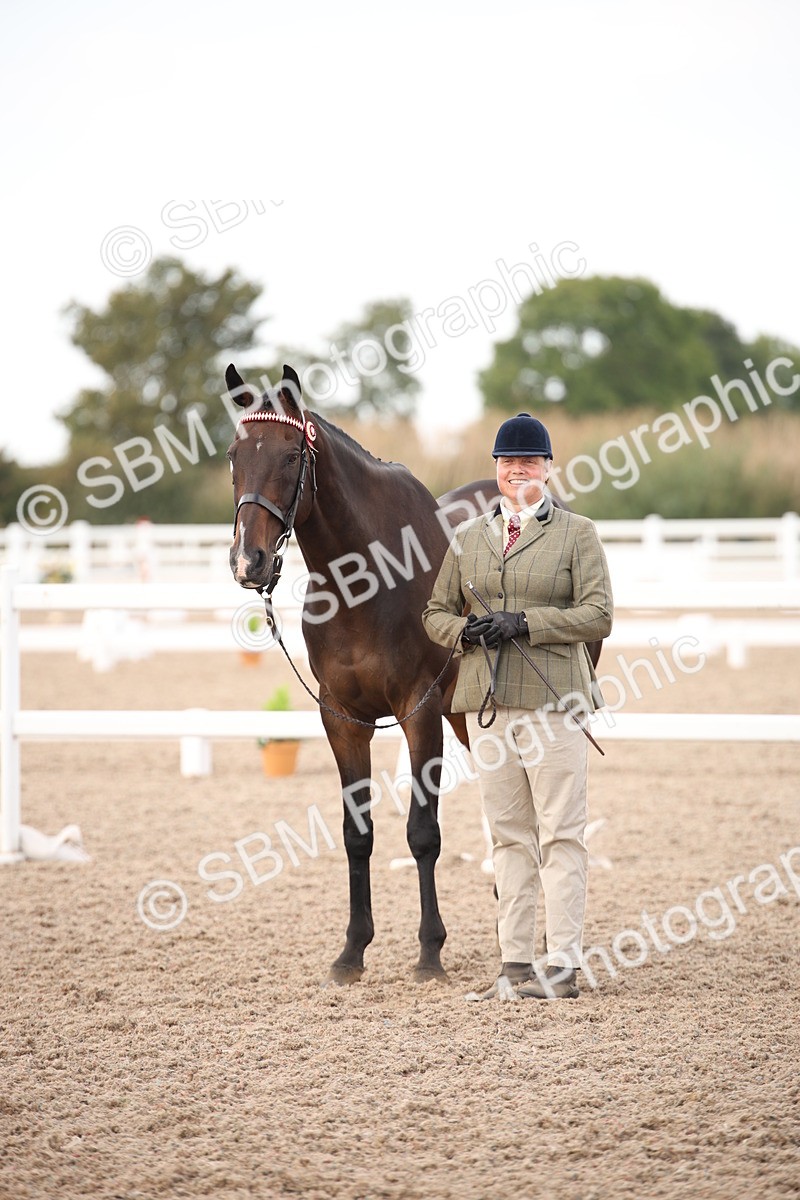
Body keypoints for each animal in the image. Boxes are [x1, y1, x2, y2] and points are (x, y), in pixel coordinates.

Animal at [226, 364, 464, 984]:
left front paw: (430, 952)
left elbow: (422, 832)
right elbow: (358, 834)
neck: (369, 578)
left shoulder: (419, 710)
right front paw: (352, 951)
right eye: (234, 454)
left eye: (291, 456)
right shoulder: (342, 717)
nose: (248, 561)